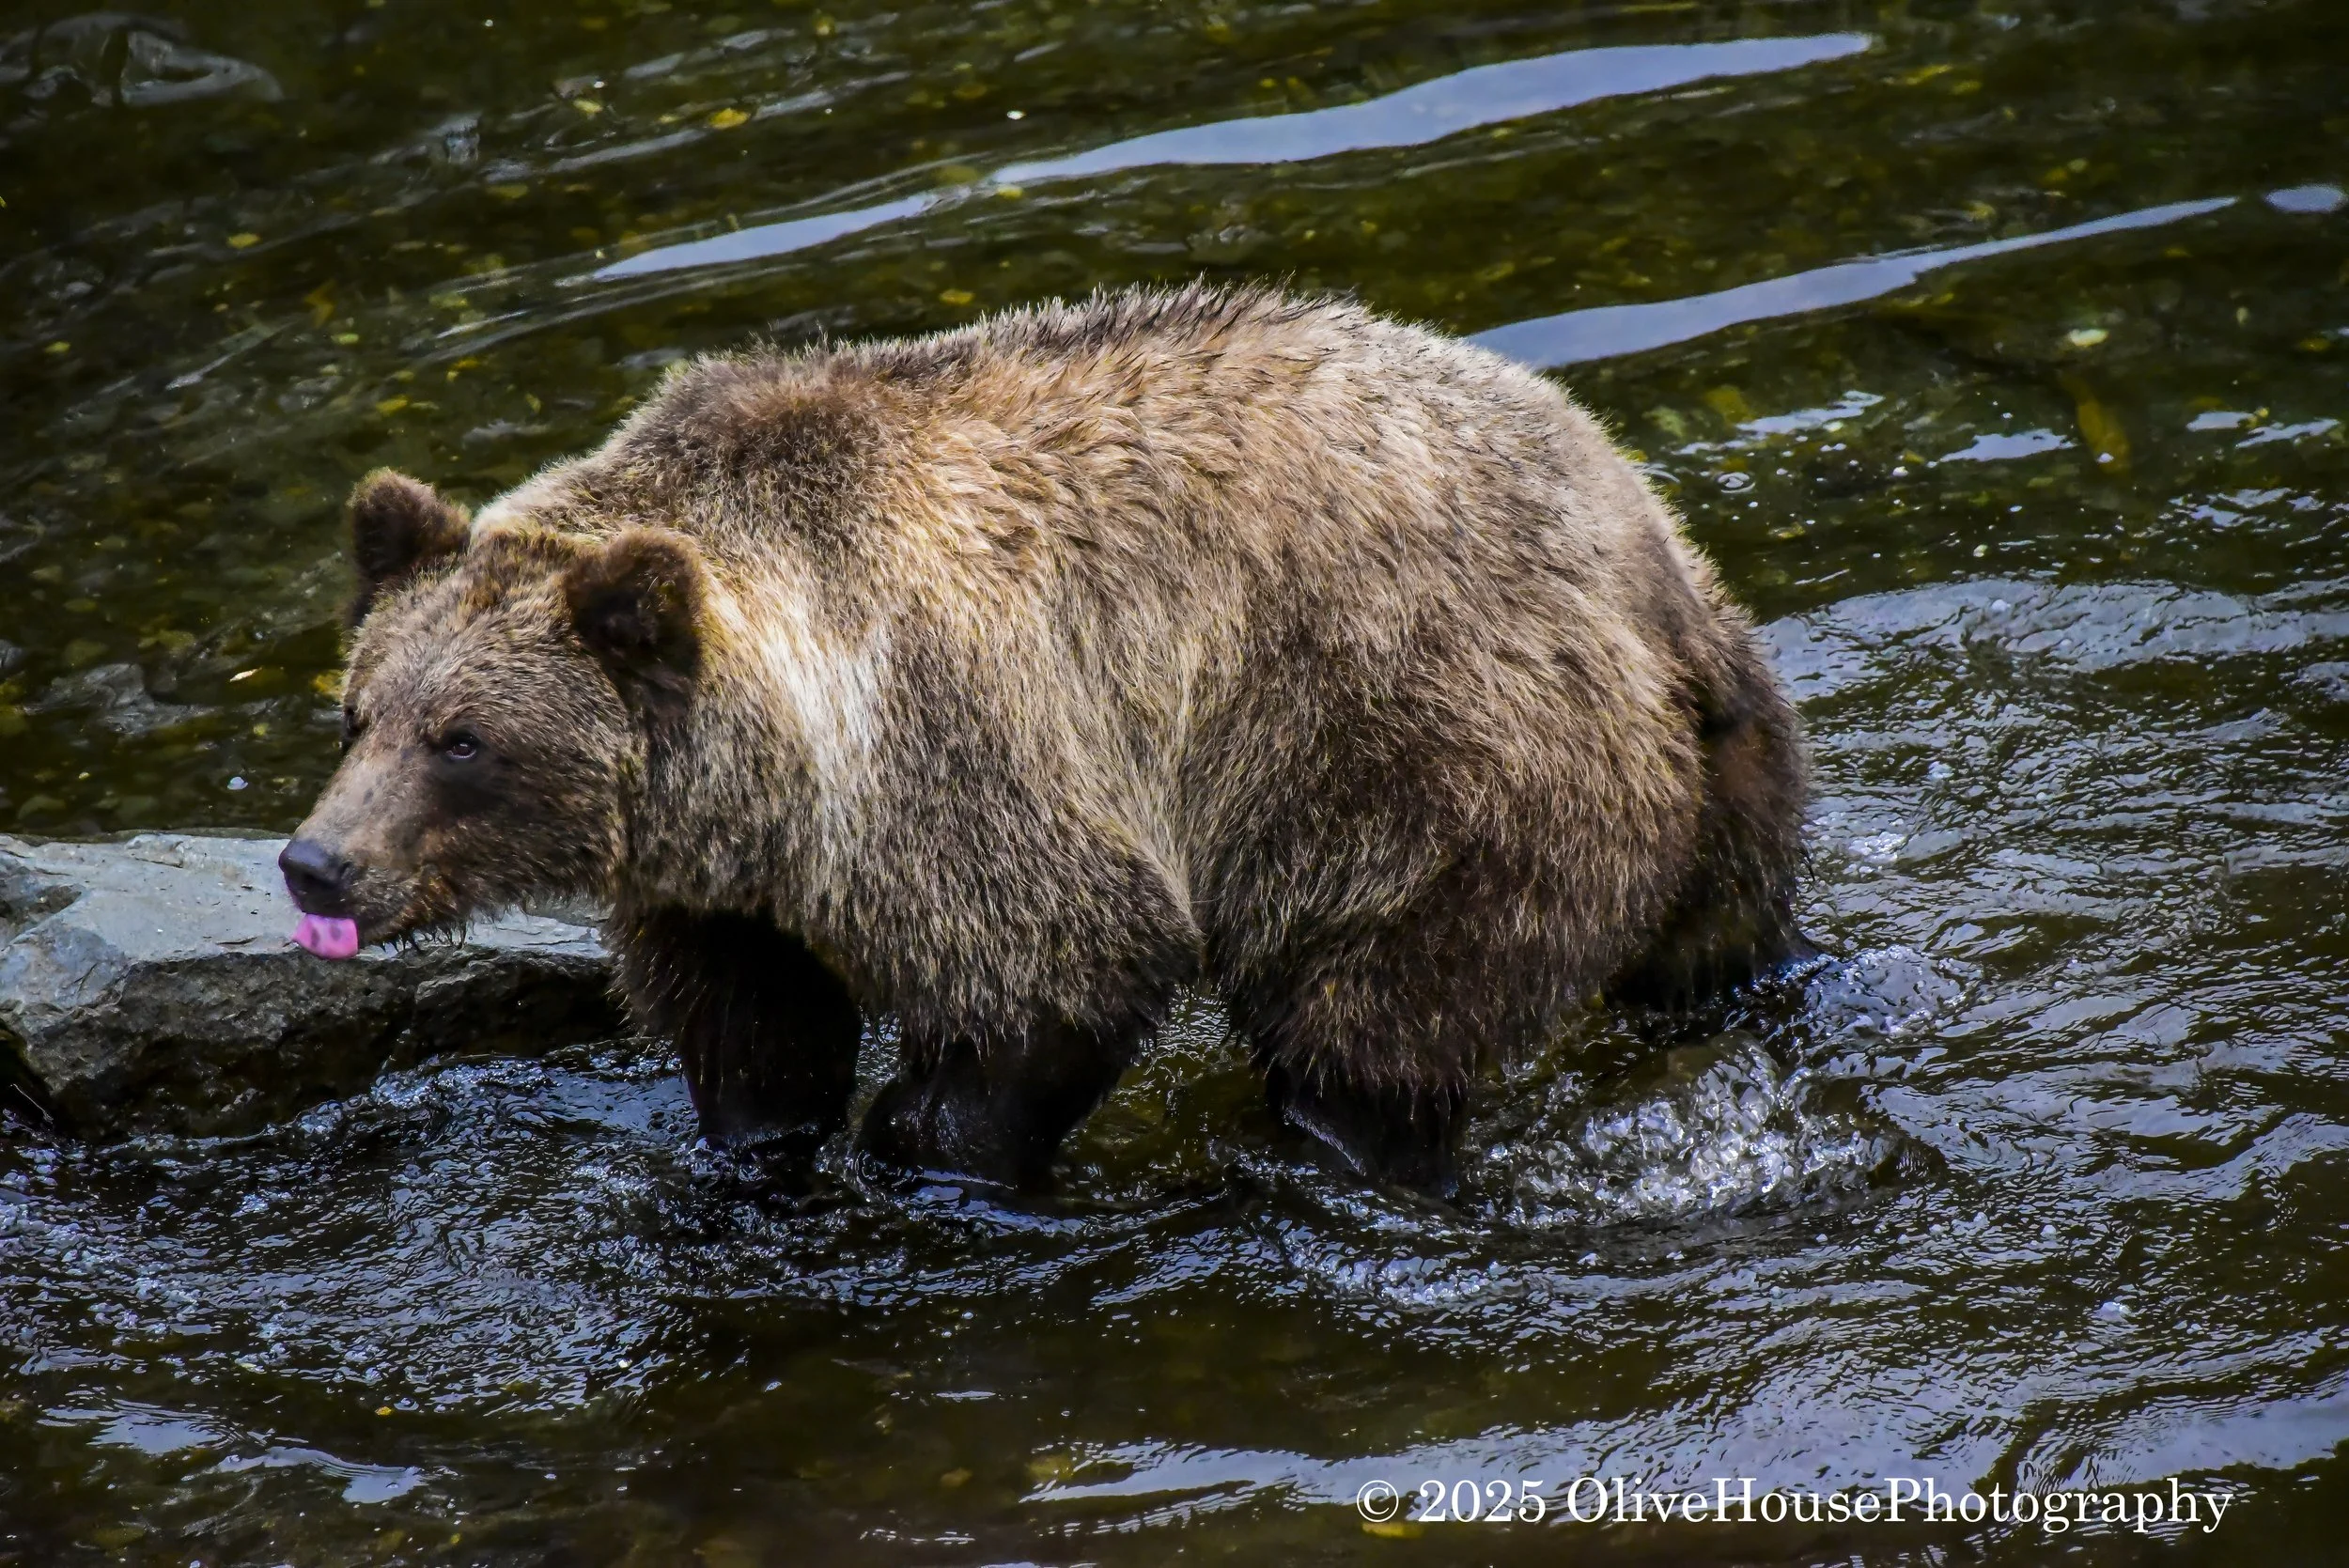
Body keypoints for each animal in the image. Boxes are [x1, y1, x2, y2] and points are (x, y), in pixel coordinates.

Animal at [278, 284, 1808, 1196]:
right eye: (360, 710)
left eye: (463, 739)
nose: (315, 861)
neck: (772, 769)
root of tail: (1647, 567)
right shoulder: (717, 883)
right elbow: (753, 1027)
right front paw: (765, 1144)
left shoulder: (952, 741)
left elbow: (1059, 964)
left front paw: (921, 1143)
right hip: (1719, 773)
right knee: (1717, 934)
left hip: (1425, 754)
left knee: (1370, 1017)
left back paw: (1334, 1142)